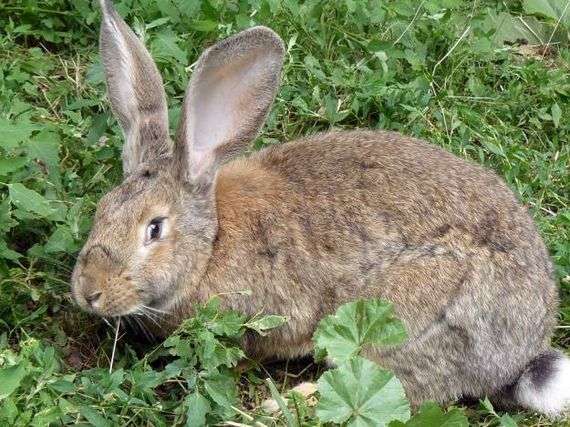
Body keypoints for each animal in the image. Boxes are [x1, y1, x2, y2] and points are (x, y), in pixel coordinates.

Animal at [72, 0, 568, 416]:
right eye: (102, 210)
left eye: (154, 229)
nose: (88, 292)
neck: (211, 244)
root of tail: (517, 357)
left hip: (411, 315)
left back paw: (291, 402)